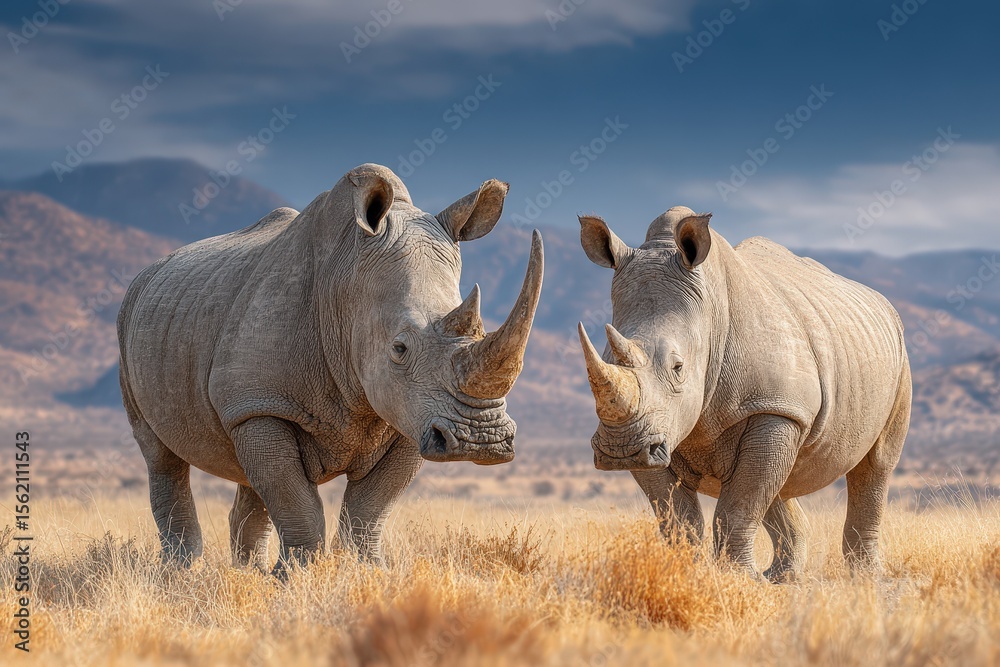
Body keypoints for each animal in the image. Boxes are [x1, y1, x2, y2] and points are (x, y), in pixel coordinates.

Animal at [118, 163, 543, 573]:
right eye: (399, 348)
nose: (482, 439)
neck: (344, 287)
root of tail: (148, 273)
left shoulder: (411, 414)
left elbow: (369, 507)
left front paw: (368, 571)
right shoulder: (265, 403)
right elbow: (296, 503)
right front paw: (296, 577)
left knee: (248, 471)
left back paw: (246, 571)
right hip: (130, 319)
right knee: (162, 457)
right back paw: (180, 571)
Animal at [577, 207, 910, 581]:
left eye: (678, 367)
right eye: (604, 357)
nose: (619, 450)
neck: (710, 317)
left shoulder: (772, 407)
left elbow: (740, 505)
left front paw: (739, 579)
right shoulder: (654, 433)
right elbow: (678, 515)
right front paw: (685, 574)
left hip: (897, 358)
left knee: (875, 464)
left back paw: (866, 576)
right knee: (778, 476)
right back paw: (783, 578)